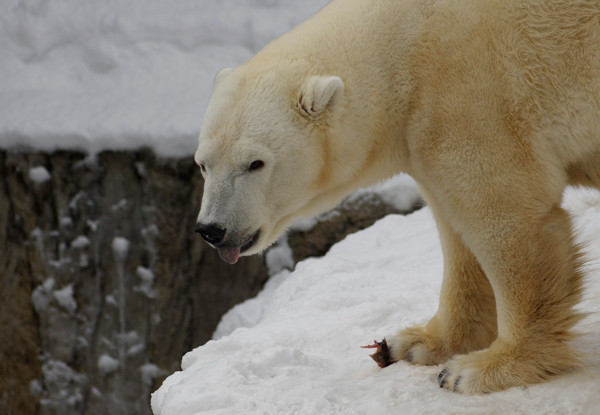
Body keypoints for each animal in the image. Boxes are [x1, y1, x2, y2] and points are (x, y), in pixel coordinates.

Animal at [195, 0, 600, 394]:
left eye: (255, 163)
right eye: (203, 164)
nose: (211, 229)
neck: (402, 49)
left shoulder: (472, 100)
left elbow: (510, 221)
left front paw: (484, 368)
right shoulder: (425, 131)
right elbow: (457, 233)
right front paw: (420, 342)